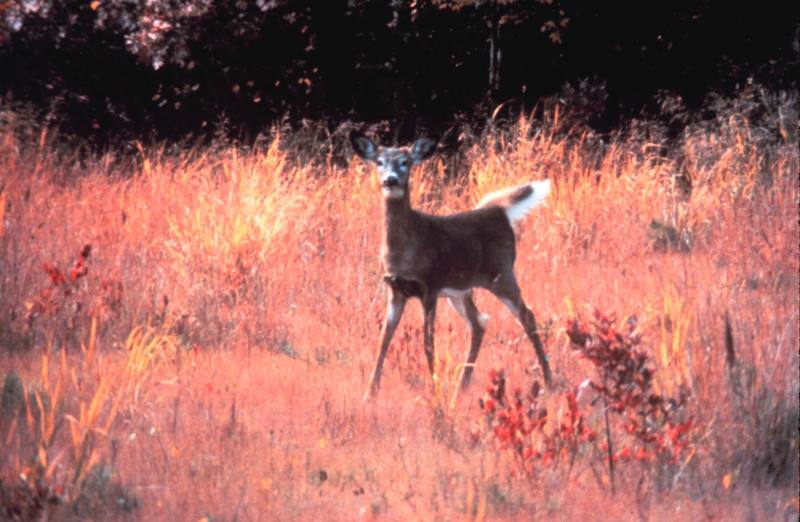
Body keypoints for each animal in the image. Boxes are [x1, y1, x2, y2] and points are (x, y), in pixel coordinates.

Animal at [354, 130, 552, 398]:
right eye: (379, 162)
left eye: (405, 162)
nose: (390, 180)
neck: (404, 252)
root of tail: (499, 211)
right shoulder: (395, 289)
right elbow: (384, 338)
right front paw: (370, 393)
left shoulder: (430, 285)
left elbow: (428, 342)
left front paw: (435, 387)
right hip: (461, 290)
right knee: (479, 323)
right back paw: (463, 384)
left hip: (502, 274)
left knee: (527, 316)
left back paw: (549, 380)